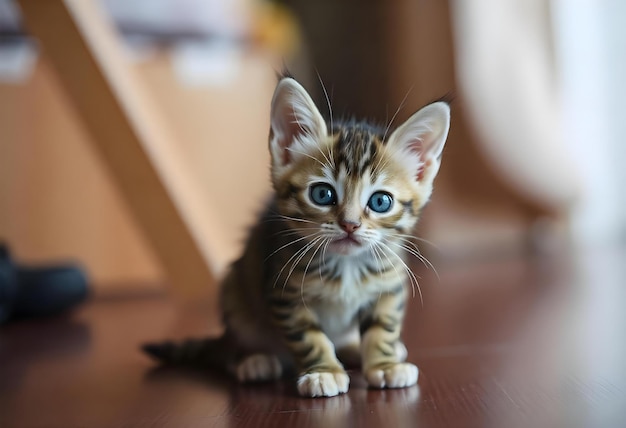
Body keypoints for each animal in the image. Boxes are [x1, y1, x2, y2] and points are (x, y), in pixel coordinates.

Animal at [144, 76, 450, 398]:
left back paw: (357, 350)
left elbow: (383, 329)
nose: (350, 225)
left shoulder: (388, 288)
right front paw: (324, 371)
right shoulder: (285, 294)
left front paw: (385, 364)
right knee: (230, 349)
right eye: (322, 194)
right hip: (235, 289)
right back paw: (254, 360)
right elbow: (309, 337)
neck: (347, 266)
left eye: (380, 202)